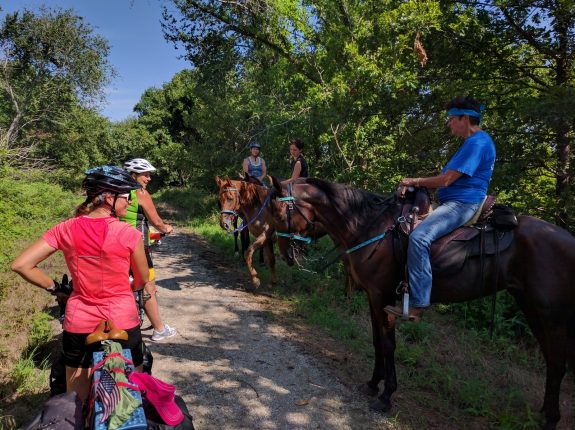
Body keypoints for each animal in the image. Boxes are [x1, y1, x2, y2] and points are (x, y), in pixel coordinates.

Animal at [270, 176, 575, 430]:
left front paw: (386, 395)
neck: (369, 226)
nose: (284, 254)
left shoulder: (383, 297)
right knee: (552, 363)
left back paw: (550, 420)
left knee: (558, 363)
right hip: (532, 309)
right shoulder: (373, 297)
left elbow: (388, 344)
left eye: (278, 212)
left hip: (550, 315)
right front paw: (372, 384)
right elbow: (376, 341)